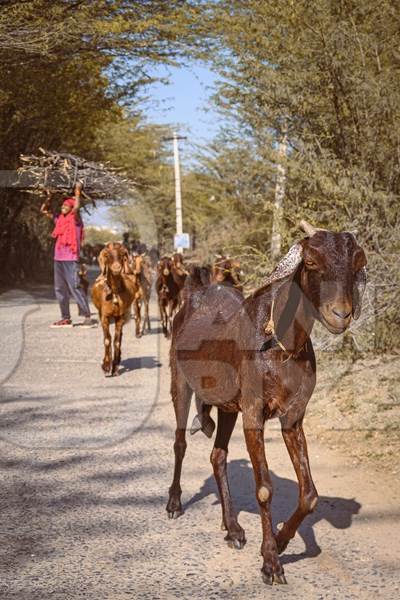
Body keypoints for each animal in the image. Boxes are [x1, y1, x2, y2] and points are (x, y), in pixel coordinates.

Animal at [92, 243, 138, 376]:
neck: (114, 293)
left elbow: (117, 341)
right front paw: (106, 366)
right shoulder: (104, 317)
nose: (117, 268)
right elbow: (107, 339)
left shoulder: (120, 317)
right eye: (107, 255)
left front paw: (115, 367)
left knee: (120, 336)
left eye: (122, 254)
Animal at [167, 223, 368, 584]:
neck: (279, 342)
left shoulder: (292, 417)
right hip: (180, 381)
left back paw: (232, 528)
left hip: (228, 406)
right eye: (311, 262)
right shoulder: (254, 414)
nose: (341, 314)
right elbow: (264, 489)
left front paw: (282, 540)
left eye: (356, 262)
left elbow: (310, 494)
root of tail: (195, 291)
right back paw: (175, 504)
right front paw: (271, 561)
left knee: (218, 455)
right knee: (179, 443)